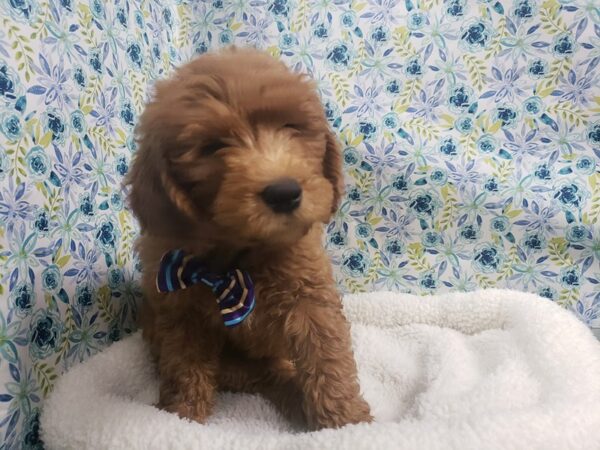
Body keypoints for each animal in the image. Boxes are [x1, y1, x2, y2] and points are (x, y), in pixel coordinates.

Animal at [125, 47, 370, 430]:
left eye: (291, 127)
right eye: (212, 147)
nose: (285, 193)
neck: (240, 257)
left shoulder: (310, 299)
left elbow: (327, 359)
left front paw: (347, 422)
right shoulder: (180, 313)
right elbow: (184, 367)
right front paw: (181, 416)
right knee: (266, 375)